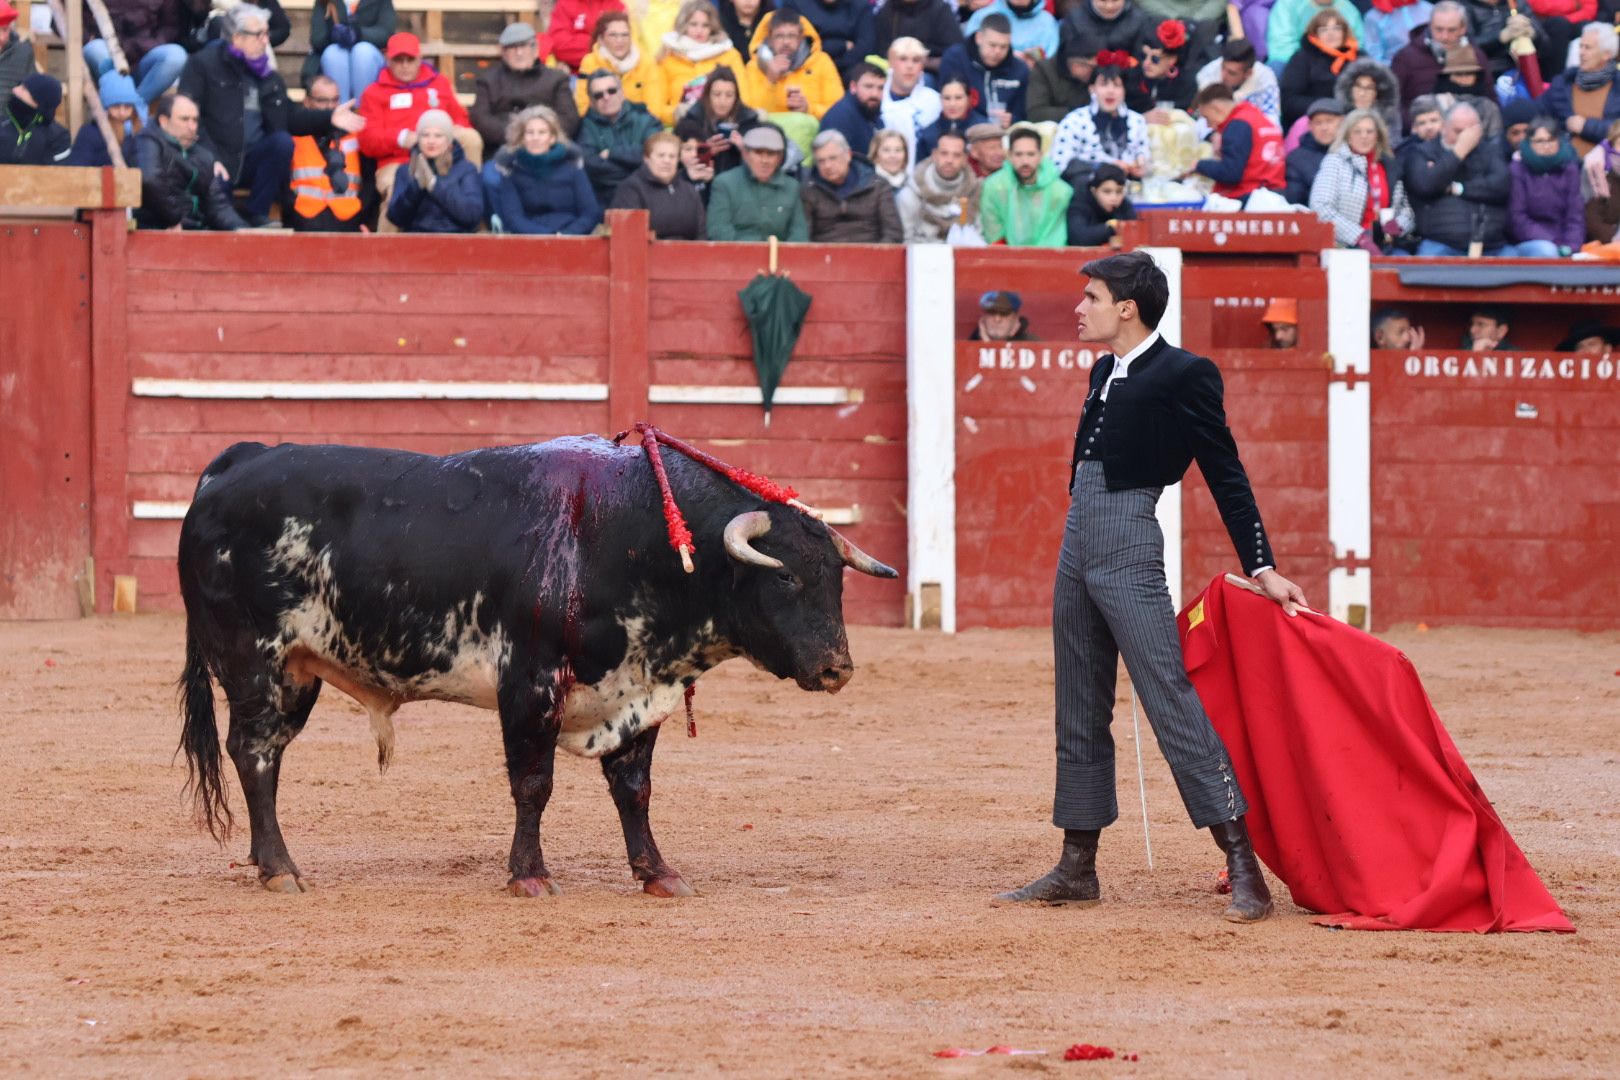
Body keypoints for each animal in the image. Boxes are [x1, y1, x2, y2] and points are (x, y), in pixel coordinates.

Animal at [177, 433, 900, 900]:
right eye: (784, 579)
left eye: (835, 578)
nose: (836, 669)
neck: (631, 536)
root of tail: (237, 464)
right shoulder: (529, 685)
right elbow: (534, 784)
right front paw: (528, 873)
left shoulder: (637, 691)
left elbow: (634, 790)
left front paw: (657, 873)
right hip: (256, 662)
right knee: (253, 753)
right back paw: (281, 868)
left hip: (298, 673)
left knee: (265, 757)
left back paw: (265, 859)